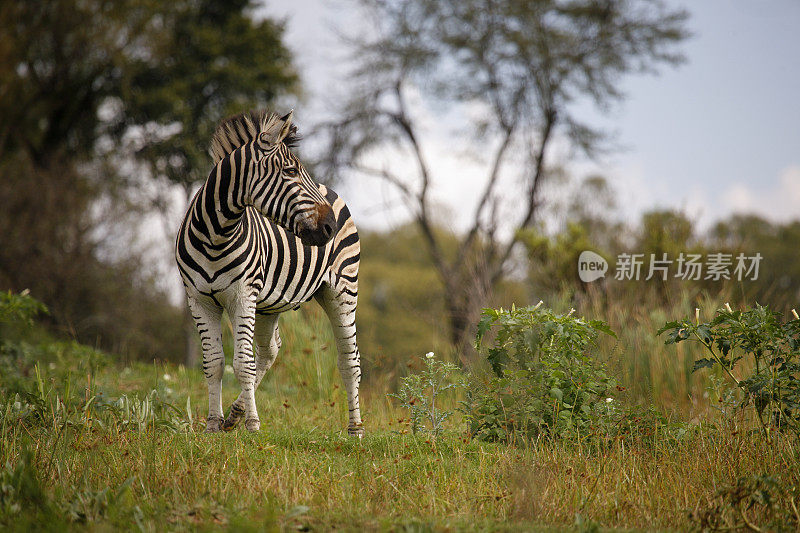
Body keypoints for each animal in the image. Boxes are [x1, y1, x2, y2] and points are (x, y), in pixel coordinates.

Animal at [177, 109, 364, 436]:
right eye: (289, 171)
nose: (329, 226)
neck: (215, 235)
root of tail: (328, 188)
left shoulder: (242, 295)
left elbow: (242, 364)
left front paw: (253, 425)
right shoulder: (199, 300)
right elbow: (214, 363)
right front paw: (213, 423)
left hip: (342, 289)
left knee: (348, 360)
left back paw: (355, 430)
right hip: (267, 305)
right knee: (270, 351)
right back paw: (235, 413)